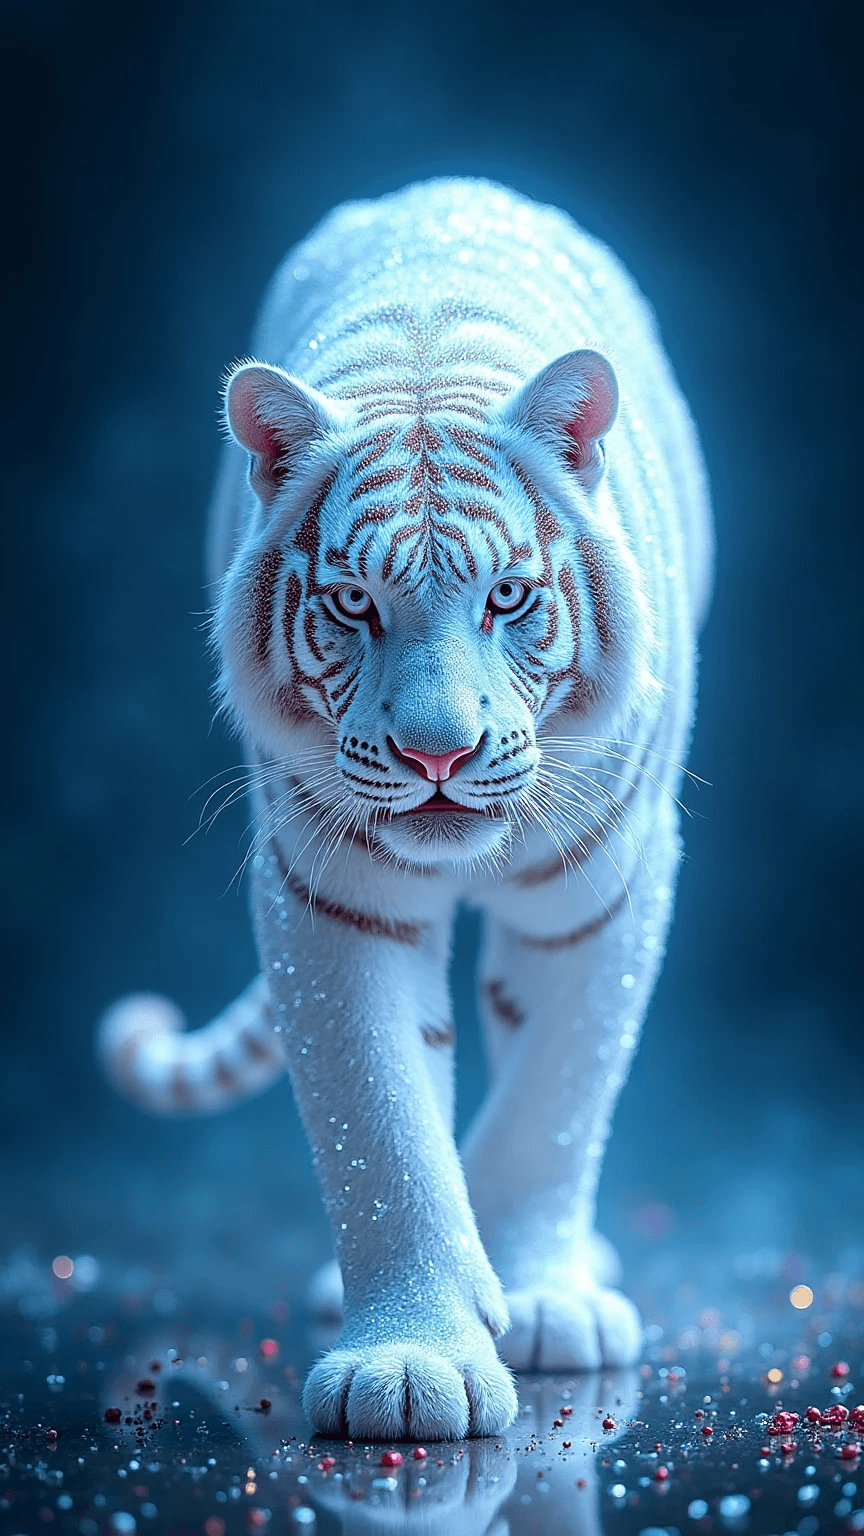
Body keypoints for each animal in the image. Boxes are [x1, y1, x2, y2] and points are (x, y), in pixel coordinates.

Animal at [98, 177, 713, 1442]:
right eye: (352, 605)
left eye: (510, 597)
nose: (440, 753)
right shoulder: (329, 896)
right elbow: (382, 1132)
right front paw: (414, 1357)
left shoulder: (604, 889)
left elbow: (554, 1102)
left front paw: (542, 1300)